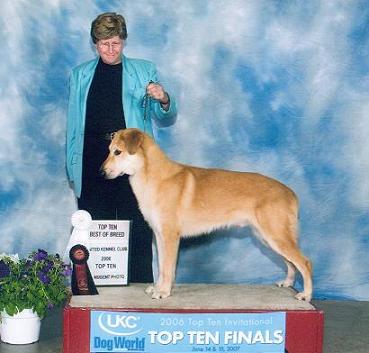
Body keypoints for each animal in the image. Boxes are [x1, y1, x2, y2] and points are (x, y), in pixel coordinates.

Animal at [100, 128, 310, 302]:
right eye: (109, 150)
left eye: (117, 152)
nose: (101, 173)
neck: (154, 177)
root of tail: (290, 192)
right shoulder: (159, 236)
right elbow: (160, 267)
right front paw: (158, 287)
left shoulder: (170, 236)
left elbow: (168, 269)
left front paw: (163, 292)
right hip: (268, 238)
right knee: (291, 263)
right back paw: (288, 283)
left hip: (276, 236)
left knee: (304, 262)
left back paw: (305, 294)